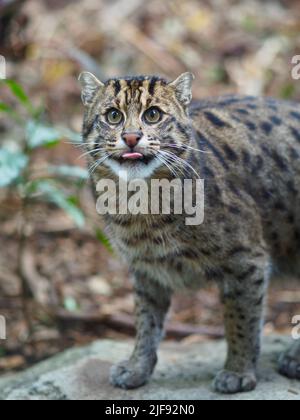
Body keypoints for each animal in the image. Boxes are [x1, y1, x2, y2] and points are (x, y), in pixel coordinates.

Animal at [78, 71, 300, 394]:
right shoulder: (146, 269)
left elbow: (241, 319)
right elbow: (146, 321)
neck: (139, 200)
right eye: (113, 116)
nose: (130, 137)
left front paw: (238, 371)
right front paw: (137, 367)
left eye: (153, 114)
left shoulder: (247, 260)